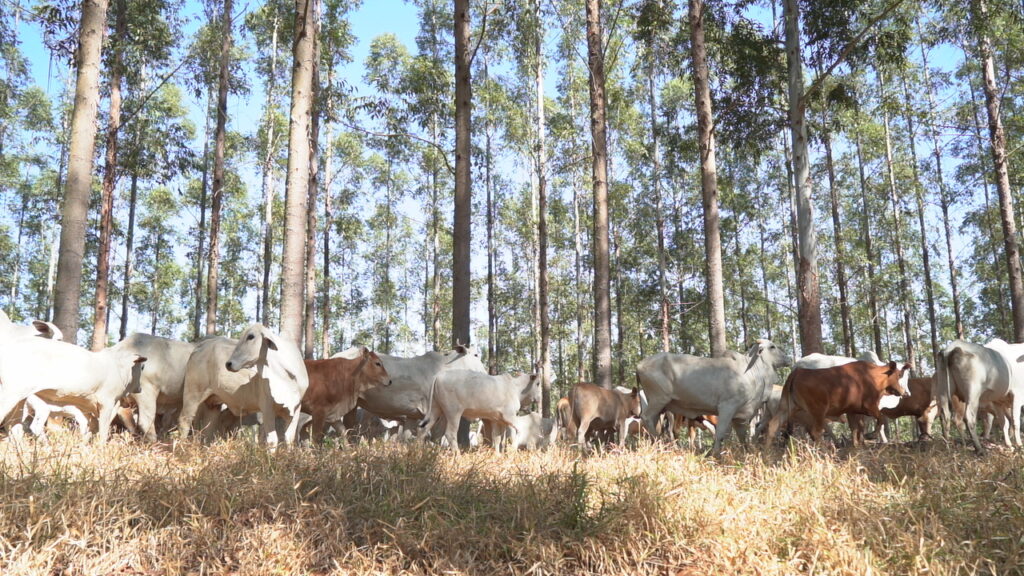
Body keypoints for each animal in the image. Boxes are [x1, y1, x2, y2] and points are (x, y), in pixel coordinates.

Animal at [0, 336, 146, 438]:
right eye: (142, 367)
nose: (139, 388)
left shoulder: (89, 409)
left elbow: (90, 431)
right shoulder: (107, 403)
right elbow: (102, 432)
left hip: (21, 400)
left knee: (13, 427)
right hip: (14, 393)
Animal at [630, 338, 790, 455]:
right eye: (772, 347)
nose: (787, 358)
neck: (753, 372)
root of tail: (639, 365)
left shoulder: (738, 416)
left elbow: (742, 437)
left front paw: (746, 453)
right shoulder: (727, 407)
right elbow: (720, 433)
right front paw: (715, 454)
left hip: (660, 406)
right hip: (659, 399)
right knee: (647, 418)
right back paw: (659, 443)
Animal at [761, 356, 913, 446]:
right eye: (900, 374)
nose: (906, 393)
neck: (873, 375)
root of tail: (797, 372)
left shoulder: (852, 410)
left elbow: (856, 429)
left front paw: (857, 446)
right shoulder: (869, 405)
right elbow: (879, 420)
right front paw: (872, 435)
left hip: (787, 407)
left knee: (773, 425)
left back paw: (767, 452)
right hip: (818, 410)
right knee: (816, 432)